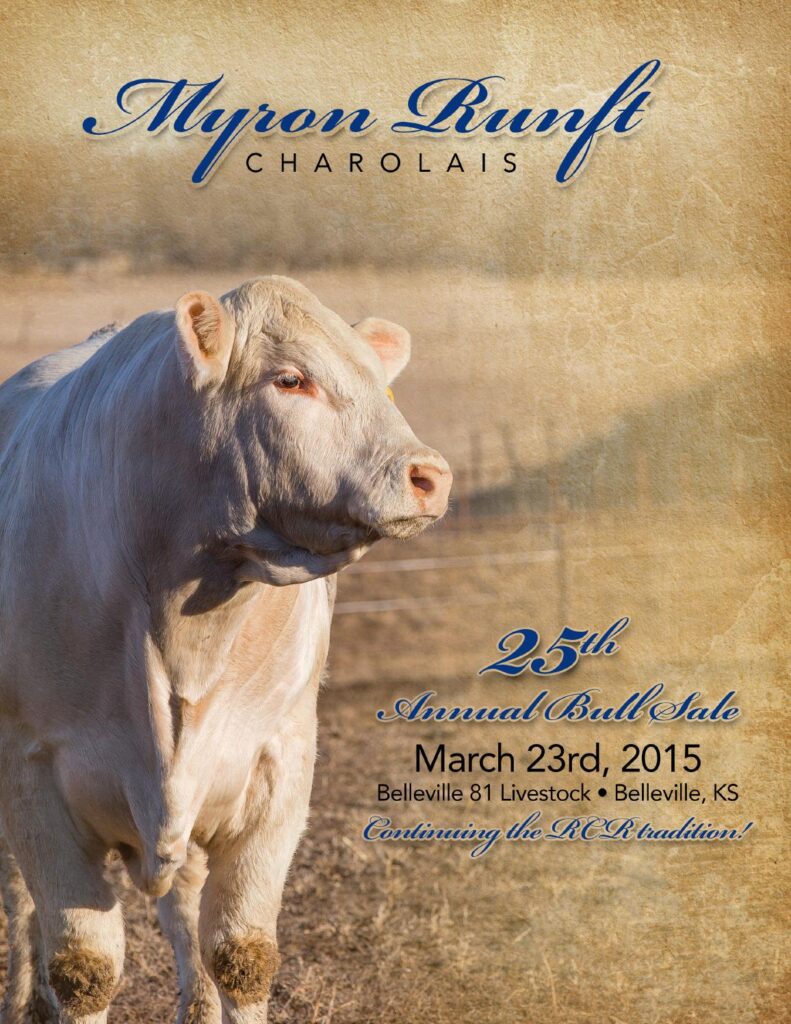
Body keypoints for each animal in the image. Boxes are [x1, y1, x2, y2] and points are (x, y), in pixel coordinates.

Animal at [0, 276, 451, 1023]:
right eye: (290, 379)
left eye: (378, 382)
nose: (430, 475)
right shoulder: (33, 773)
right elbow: (82, 967)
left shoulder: (280, 765)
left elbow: (241, 953)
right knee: (18, 903)